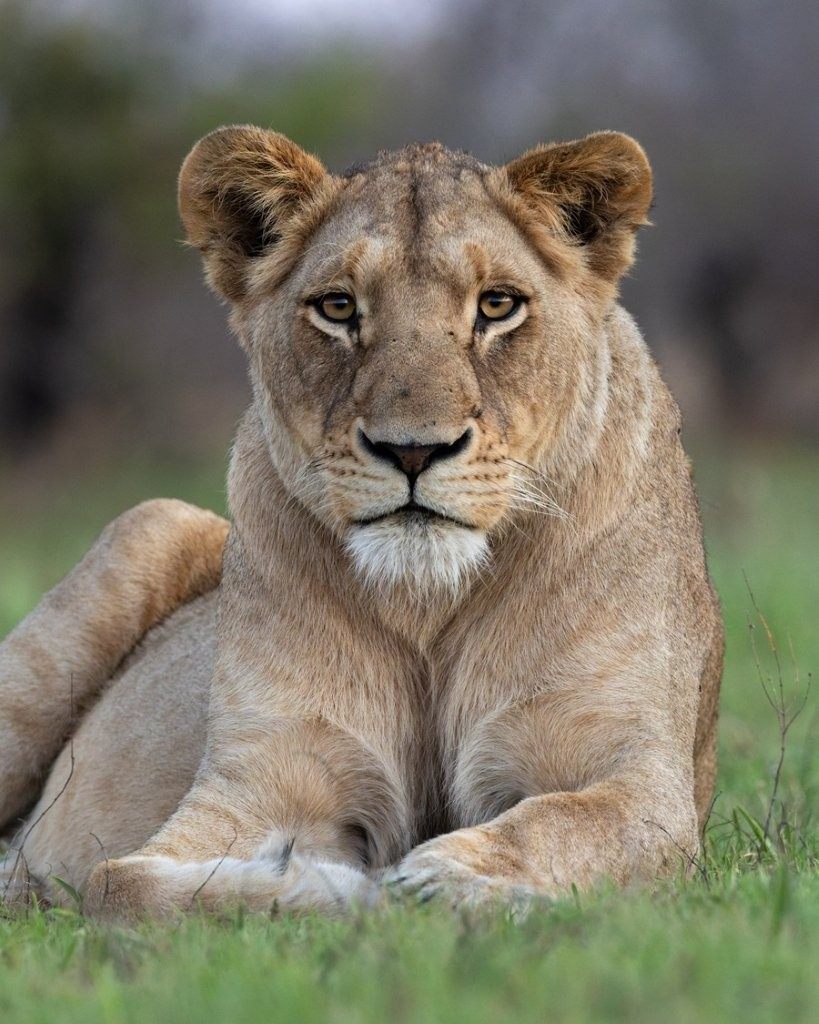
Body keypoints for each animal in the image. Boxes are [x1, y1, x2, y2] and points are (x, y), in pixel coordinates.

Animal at [0, 127, 723, 917]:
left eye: (497, 304)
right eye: (338, 307)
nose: (413, 449)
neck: (427, 605)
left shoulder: (641, 778)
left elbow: (557, 823)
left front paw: (448, 882)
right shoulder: (258, 776)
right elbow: (122, 881)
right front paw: (336, 888)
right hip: (146, 531)